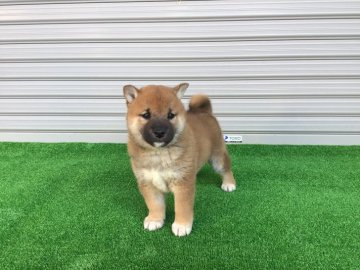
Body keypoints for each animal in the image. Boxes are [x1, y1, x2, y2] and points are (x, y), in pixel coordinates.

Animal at [124, 83, 236, 236]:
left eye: (170, 115)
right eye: (146, 115)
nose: (160, 132)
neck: (159, 154)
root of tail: (204, 112)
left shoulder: (183, 182)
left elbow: (182, 207)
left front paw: (182, 225)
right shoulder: (147, 182)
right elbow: (154, 204)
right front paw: (155, 219)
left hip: (217, 157)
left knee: (226, 169)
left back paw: (229, 184)